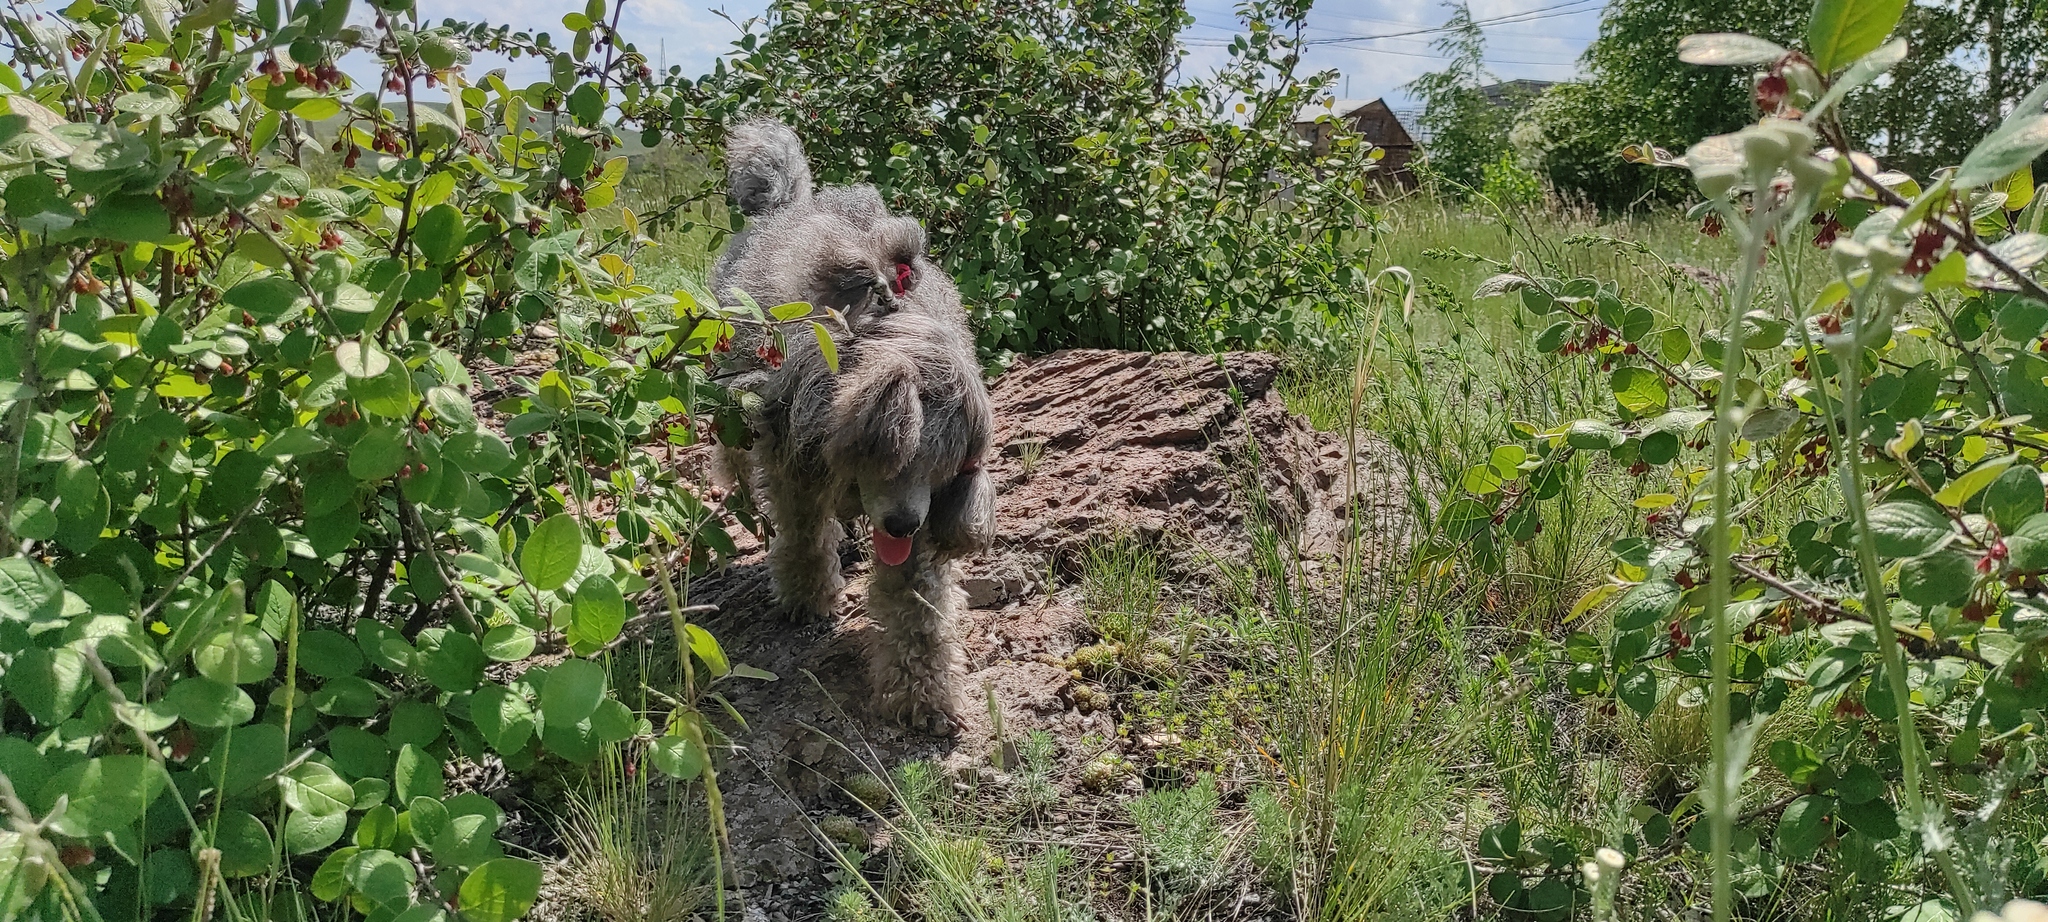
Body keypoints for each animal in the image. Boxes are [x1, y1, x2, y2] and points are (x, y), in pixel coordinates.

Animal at [708, 118, 995, 733]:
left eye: (944, 472)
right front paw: (808, 594)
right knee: (736, 454)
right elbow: (802, 531)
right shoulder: (795, 454)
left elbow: (917, 606)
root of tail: (787, 204)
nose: (903, 527)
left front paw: (924, 695)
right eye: (890, 456)